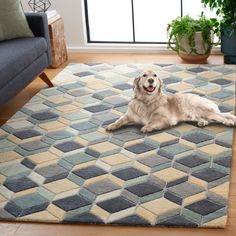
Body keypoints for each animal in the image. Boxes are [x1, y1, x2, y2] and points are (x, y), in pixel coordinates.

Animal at [107, 70, 236, 133]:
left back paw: (229, 122)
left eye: (155, 75)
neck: (147, 101)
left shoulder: (165, 119)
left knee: (222, 116)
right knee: (209, 119)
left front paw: (147, 127)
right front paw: (112, 125)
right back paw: (202, 122)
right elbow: (120, 120)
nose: (151, 80)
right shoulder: (129, 116)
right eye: (144, 75)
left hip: (200, 108)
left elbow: (153, 121)